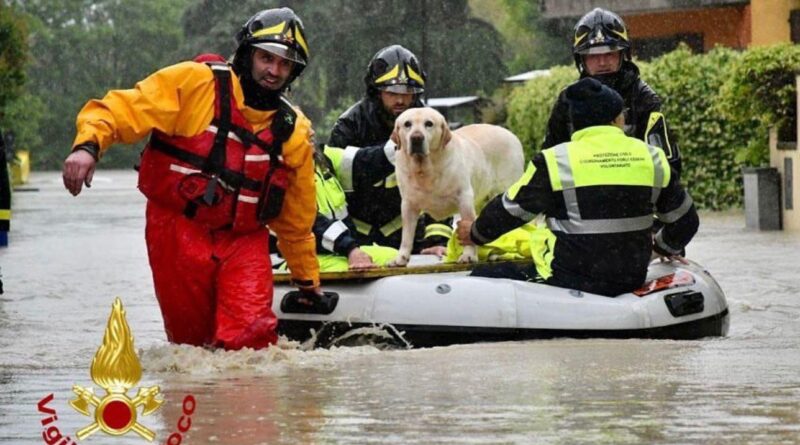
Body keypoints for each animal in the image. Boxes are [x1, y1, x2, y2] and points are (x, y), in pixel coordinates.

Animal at [388, 107, 524, 266]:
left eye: (429, 124)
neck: (425, 171)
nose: (416, 138)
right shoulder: (408, 204)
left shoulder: (464, 198)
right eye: (407, 124)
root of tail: (511, 134)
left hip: (504, 189)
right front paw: (400, 258)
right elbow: (406, 236)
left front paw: (469, 255)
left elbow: (468, 229)